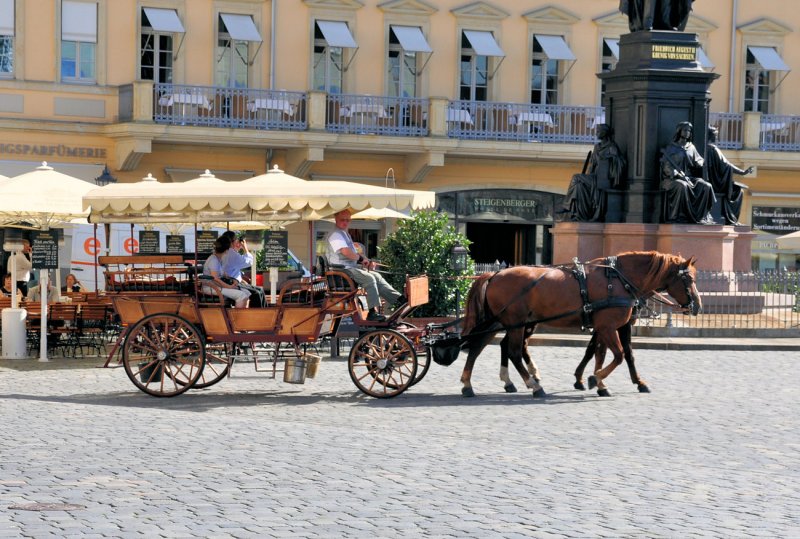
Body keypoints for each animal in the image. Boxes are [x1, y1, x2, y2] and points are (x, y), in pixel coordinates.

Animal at [462, 251, 700, 398]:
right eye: (689, 280)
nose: (697, 305)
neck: (619, 279)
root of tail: (495, 274)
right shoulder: (607, 327)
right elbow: (617, 355)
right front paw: (595, 379)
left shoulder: (614, 327)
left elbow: (612, 354)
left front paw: (612, 382)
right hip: (515, 323)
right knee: (511, 351)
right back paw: (533, 385)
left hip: (504, 323)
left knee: (480, 347)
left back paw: (470, 384)